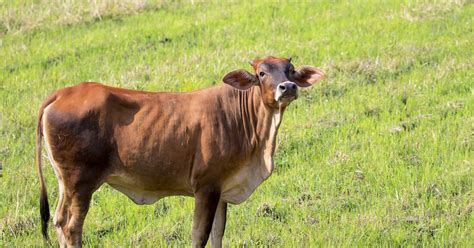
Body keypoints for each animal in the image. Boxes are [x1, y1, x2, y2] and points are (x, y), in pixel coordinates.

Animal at [37, 56, 324, 246]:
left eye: (290, 70)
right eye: (262, 73)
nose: (287, 87)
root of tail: (63, 93)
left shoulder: (222, 189)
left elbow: (217, 234)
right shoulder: (206, 187)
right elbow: (200, 235)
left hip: (66, 183)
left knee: (59, 220)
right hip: (81, 182)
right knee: (73, 227)